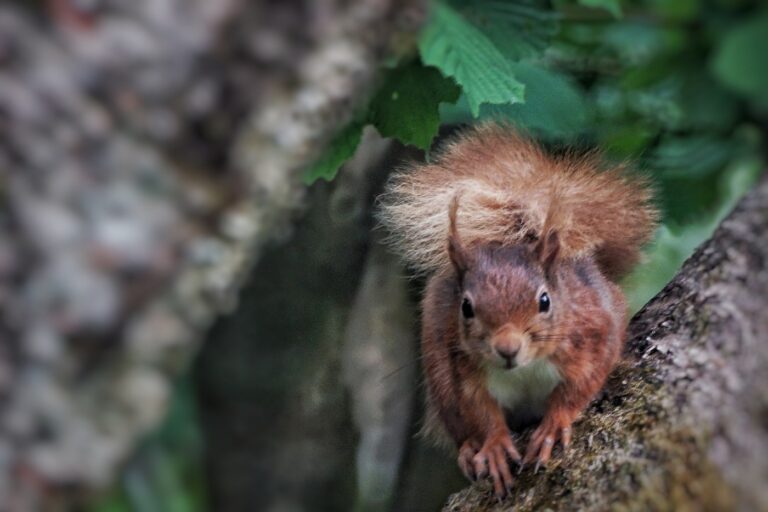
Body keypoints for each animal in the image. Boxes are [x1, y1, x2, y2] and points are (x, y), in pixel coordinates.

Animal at [376, 125, 656, 500]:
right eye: (465, 307)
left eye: (545, 301)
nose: (507, 349)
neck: (524, 369)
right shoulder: (462, 370)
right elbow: (480, 412)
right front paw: (494, 445)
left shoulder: (594, 333)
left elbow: (580, 386)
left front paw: (554, 424)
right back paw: (469, 451)